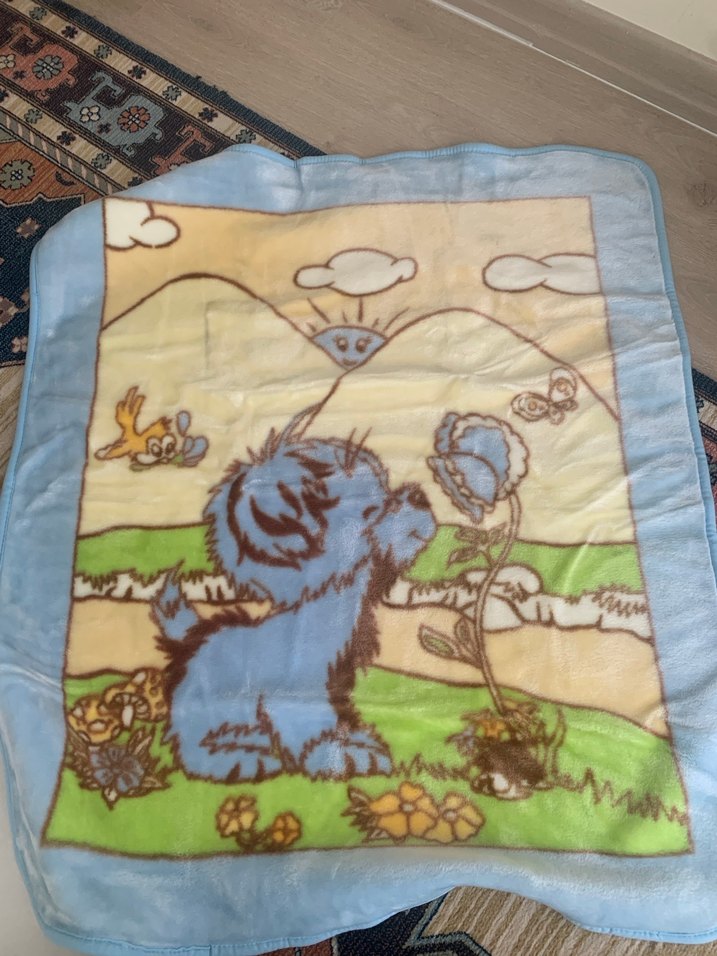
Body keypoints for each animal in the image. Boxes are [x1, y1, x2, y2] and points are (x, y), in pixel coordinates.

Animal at [151, 418, 436, 782]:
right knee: (194, 746)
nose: (419, 495)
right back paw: (238, 760)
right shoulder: (295, 690)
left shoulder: (336, 682)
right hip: (206, 706)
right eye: (373, 510)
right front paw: (336, 757)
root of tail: (192, 638)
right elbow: (308, 722)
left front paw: (358, 742)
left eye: (387, 486)